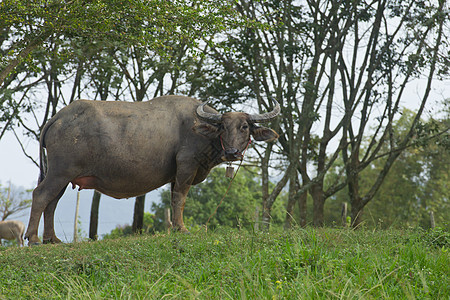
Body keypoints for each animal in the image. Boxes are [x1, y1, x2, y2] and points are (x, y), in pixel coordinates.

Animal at [24, 95, 280, 245]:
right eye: (223, 127)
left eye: (244, 126)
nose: (233, 152)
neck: (198, 130)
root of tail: (58, 117)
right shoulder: (186, 166)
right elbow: (180, 198)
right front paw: (182, 229)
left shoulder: (176, 174)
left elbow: (174, 199)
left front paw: (176, 227)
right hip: (60, 172)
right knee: (41, 196)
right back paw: (34, 238)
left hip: (63, 175)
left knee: (52, 202)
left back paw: (52, 239)